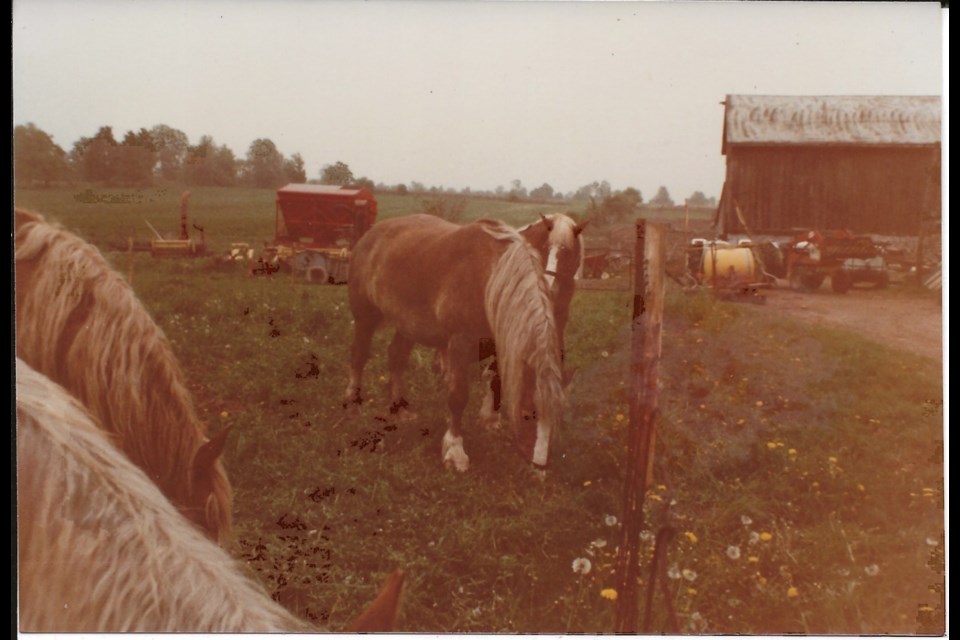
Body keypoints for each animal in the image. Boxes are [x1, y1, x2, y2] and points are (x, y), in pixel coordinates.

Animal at [344, 215, 568, 470]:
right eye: (528, 414)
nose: (540, 465)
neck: (490, 279)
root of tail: (371, 233)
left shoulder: (501, 348)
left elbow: (495, 384)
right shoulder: (460, 343)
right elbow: (458, 397)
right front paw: (454, 451)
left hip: (407, 325)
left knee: (396, 357)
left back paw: (399, 409)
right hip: (365, 317)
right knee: (358, 356)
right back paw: (352, 405)